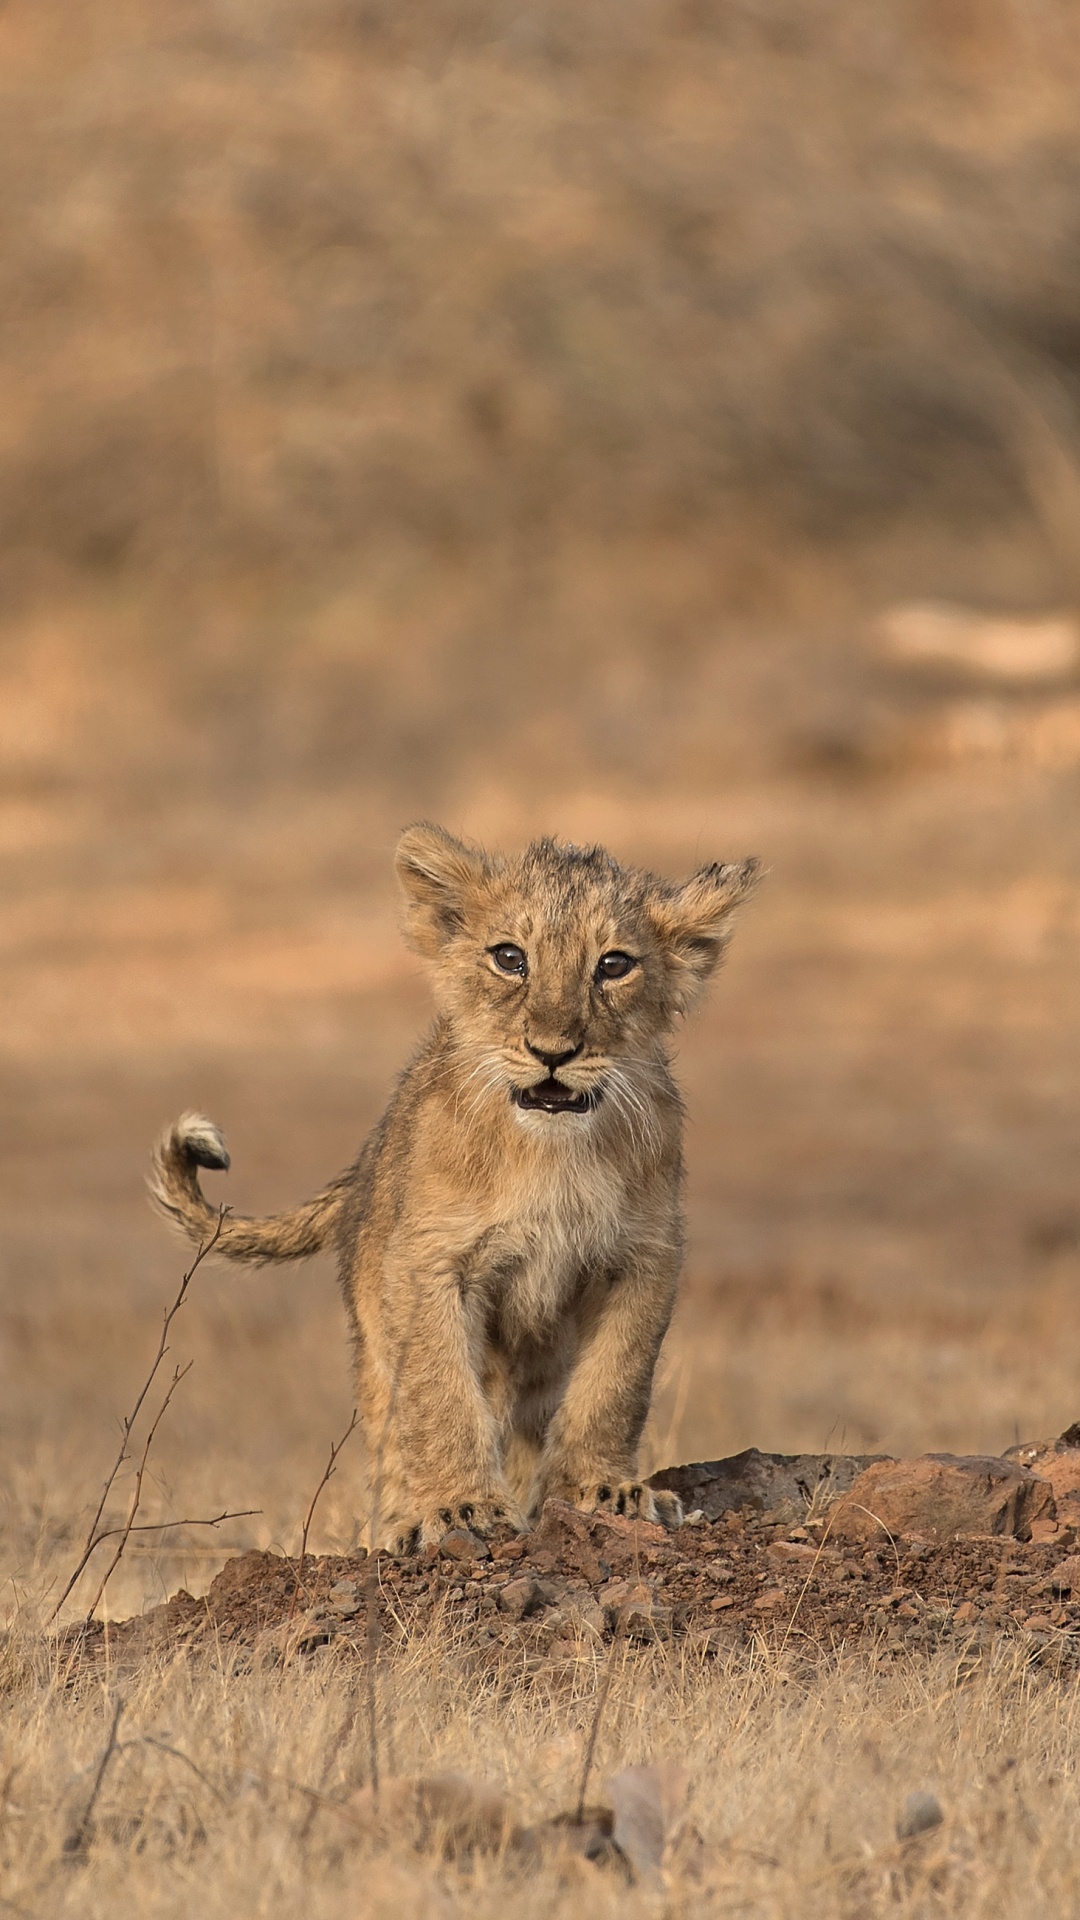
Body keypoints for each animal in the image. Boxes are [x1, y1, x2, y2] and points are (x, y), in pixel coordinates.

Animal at [151, 826, 758, 1550]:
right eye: (509, 958)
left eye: (614, 965)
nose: (552, 1051)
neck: (550, 1154)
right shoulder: (430, 1261)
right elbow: (439, 1391)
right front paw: (461, 1507)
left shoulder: (643, 1259)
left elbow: (614, 1383)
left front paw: (602, 1490)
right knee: (394, 1434)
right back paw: (398, 1523)